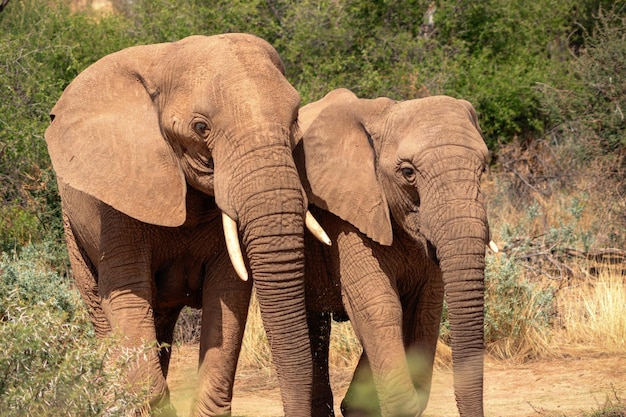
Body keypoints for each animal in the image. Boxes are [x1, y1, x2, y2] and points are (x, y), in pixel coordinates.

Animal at [43, 35, 326, 416]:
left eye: (295, 118)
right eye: (200, 127)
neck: (165, 61)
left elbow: (228, 296)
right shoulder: (120, 195)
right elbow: (126, 297)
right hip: (72, 224)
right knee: (103, 313)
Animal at [294, 88, 494, 416]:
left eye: (484, 167)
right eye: (408, 172)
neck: (384, 115)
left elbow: (425, 306)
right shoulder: (347, 214)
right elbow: (378, 304)